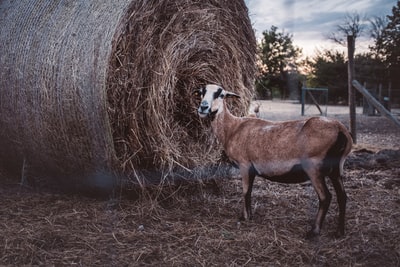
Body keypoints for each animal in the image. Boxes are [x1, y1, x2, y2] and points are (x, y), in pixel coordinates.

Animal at [195, 84, 354, 239]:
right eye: (202, 92)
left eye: (221, 94)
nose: (203, 107)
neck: (233, 128)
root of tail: (341, 130)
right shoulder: (252, 168)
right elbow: (250, 191)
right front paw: (249, 215)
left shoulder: (244, 164)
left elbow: (245, 191)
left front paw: (244, 217)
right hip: (336, 169)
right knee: (342, 196)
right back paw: (339, 232)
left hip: (314, 167)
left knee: (325, 197)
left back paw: (313, 231)